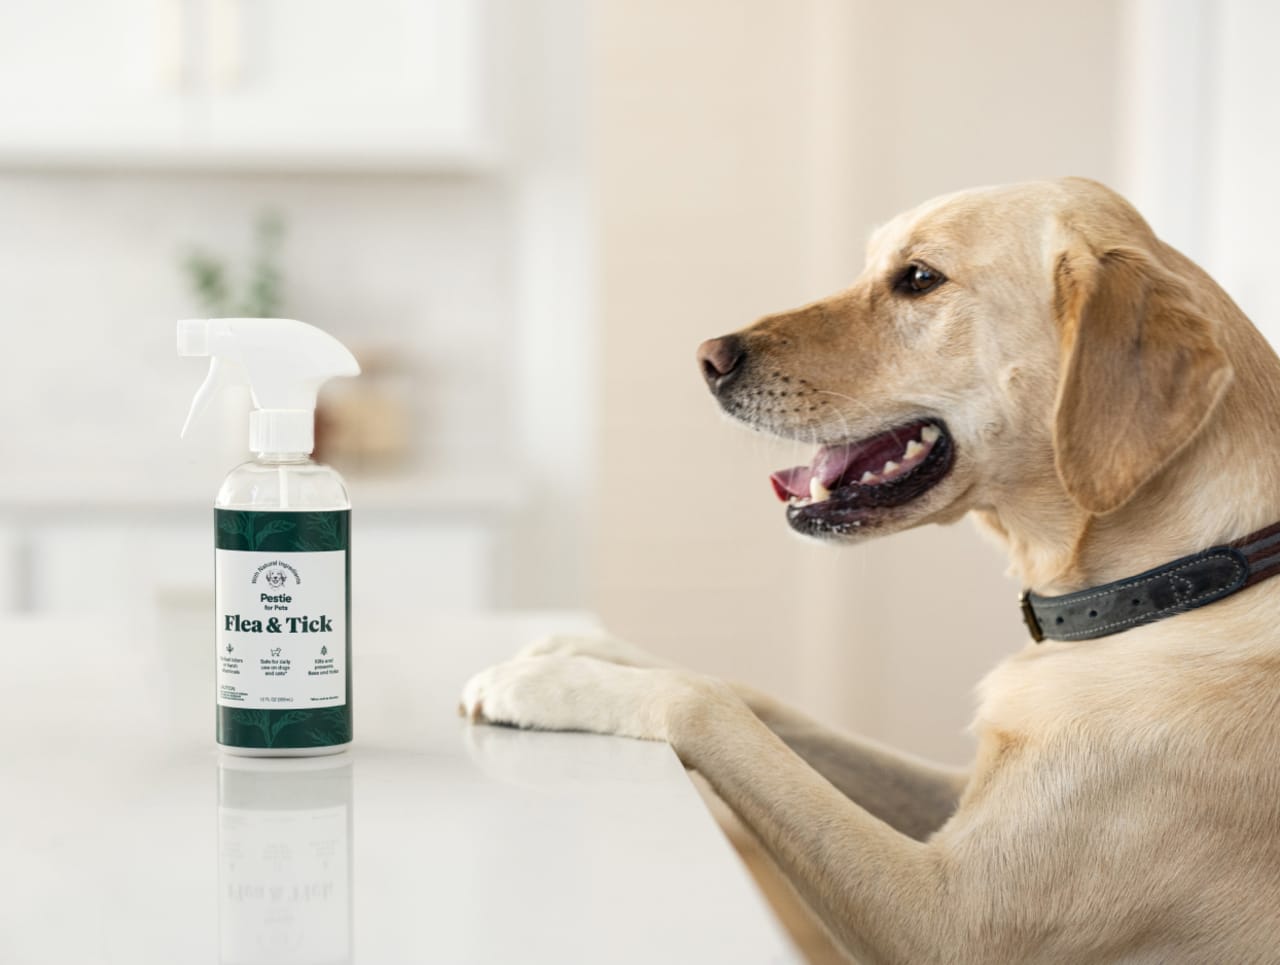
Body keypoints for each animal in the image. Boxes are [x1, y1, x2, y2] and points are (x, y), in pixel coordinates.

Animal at [460, 180, 1280, 962]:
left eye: (918, 278)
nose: (708, 356)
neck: (1183, 581)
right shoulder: (957, 793)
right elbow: (757, 700)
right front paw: (588, 649)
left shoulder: (947, 919)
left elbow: (709, 707)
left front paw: (553, 683)